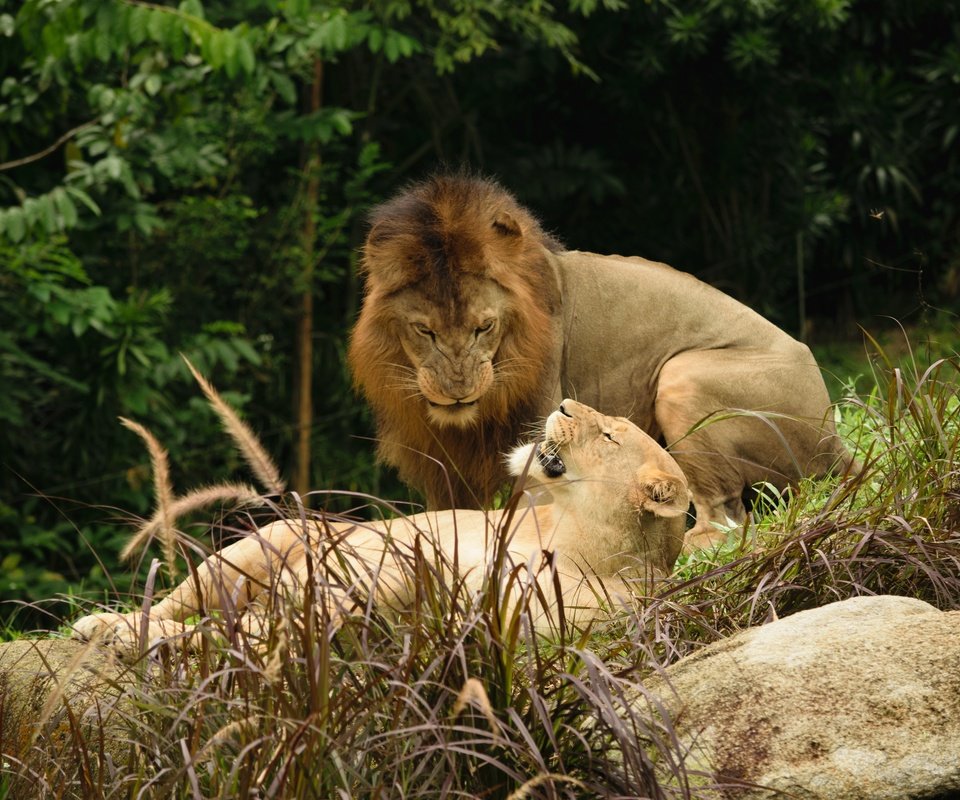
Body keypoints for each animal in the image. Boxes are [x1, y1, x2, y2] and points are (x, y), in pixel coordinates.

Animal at [73, 398, 688, 648]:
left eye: (608, 435)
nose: (561, 405)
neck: (565, 534)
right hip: (252, 548)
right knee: (176, 604)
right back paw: (102, 624)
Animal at [348, 173, 852, 552]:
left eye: (484, 327)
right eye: (425, 330)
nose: (458, 390)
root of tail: (835, 438)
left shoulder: (536, 431)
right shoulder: (441, 464)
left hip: (682, 376)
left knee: (727, 518)